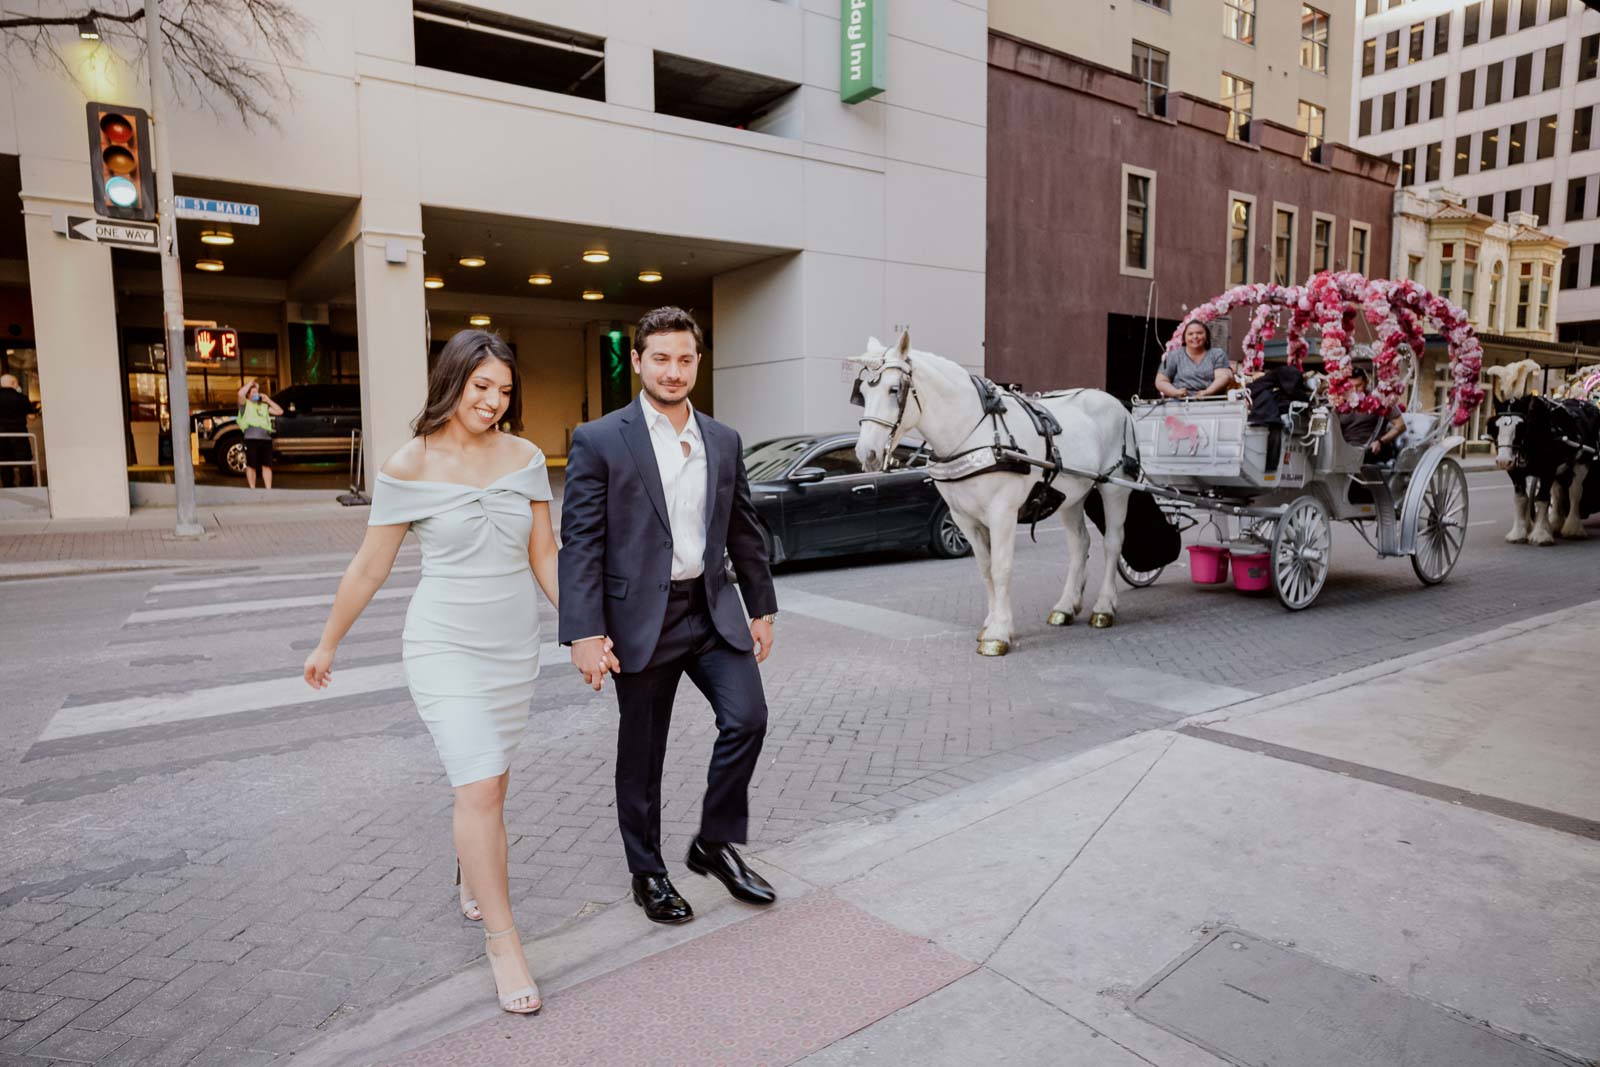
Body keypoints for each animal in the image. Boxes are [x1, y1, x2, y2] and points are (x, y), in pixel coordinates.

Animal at [851, 334, 1139, 655]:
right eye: (862, 392)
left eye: (894, 389)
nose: (867, 453)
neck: (971, 432)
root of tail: (1118, 403)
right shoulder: (964, 518)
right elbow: (986, 568)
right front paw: (992, 624)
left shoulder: (1002, 513)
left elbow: (1001, 568)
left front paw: (998, 634)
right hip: (1070, 496)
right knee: (1080, 544)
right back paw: (1065, 606)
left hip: (1115, 487)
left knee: (1112, 543)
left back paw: (1104, 607)